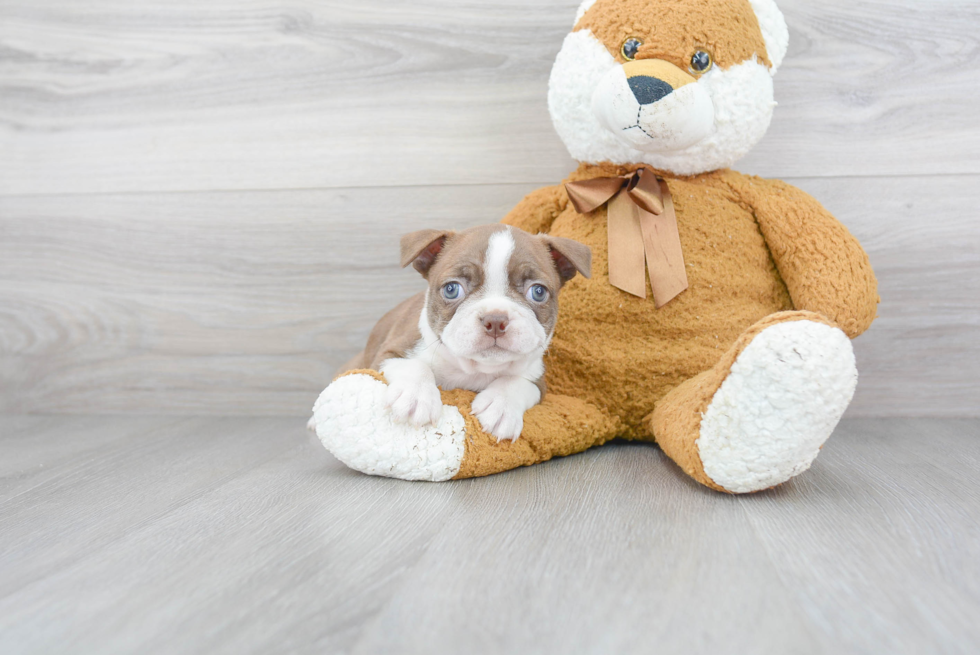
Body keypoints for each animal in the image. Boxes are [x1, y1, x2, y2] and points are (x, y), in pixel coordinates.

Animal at [336, 224, 588, 440]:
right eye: (451, 289)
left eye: (538, 292)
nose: (495, 319)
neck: (473, 369)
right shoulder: (387, 355)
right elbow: (414, 366)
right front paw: (415, 396)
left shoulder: (538, 380)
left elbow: (516, 381)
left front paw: (501, 405)